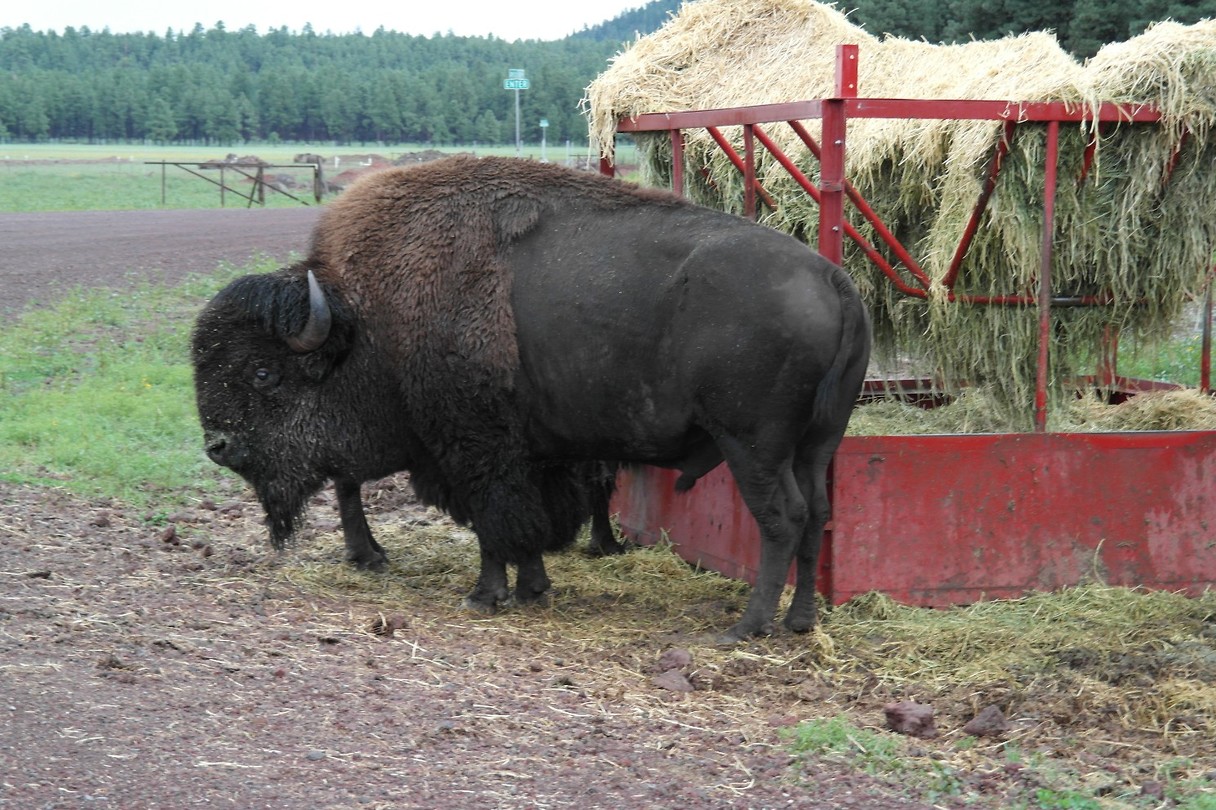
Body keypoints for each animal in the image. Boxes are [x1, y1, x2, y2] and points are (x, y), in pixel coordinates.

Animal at [192, 155, 870, 641]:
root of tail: (832, 277)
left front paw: (485, 595)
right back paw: (799, 621)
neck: (362, 320)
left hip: (752, 445)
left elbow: (494, 520)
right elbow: (527, 520)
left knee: (781, 517)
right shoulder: (529, 452)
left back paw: (746, 628)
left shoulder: (473, 447)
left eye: (263, 373)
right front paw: (533, 587)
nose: (218, 446)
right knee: (817, 512)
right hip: (815, 444)